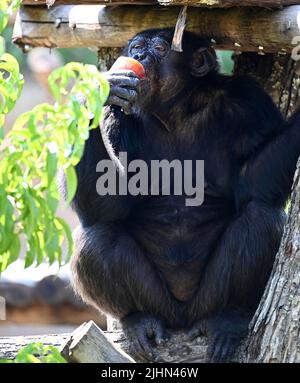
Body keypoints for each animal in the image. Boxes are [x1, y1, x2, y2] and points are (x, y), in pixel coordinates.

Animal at [68, 28, 300, 362]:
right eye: (136, 47)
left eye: (160, 49)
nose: (138, 56)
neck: (177, 110)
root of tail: (182, 320)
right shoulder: (115, 116)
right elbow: (107, 204)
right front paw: (99, 89)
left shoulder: (251, 104)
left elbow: (252, 182)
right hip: (157, 301)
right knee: (97, 238)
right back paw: (138, 320)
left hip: (208, 300)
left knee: (261, 219)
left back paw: (230, 318)